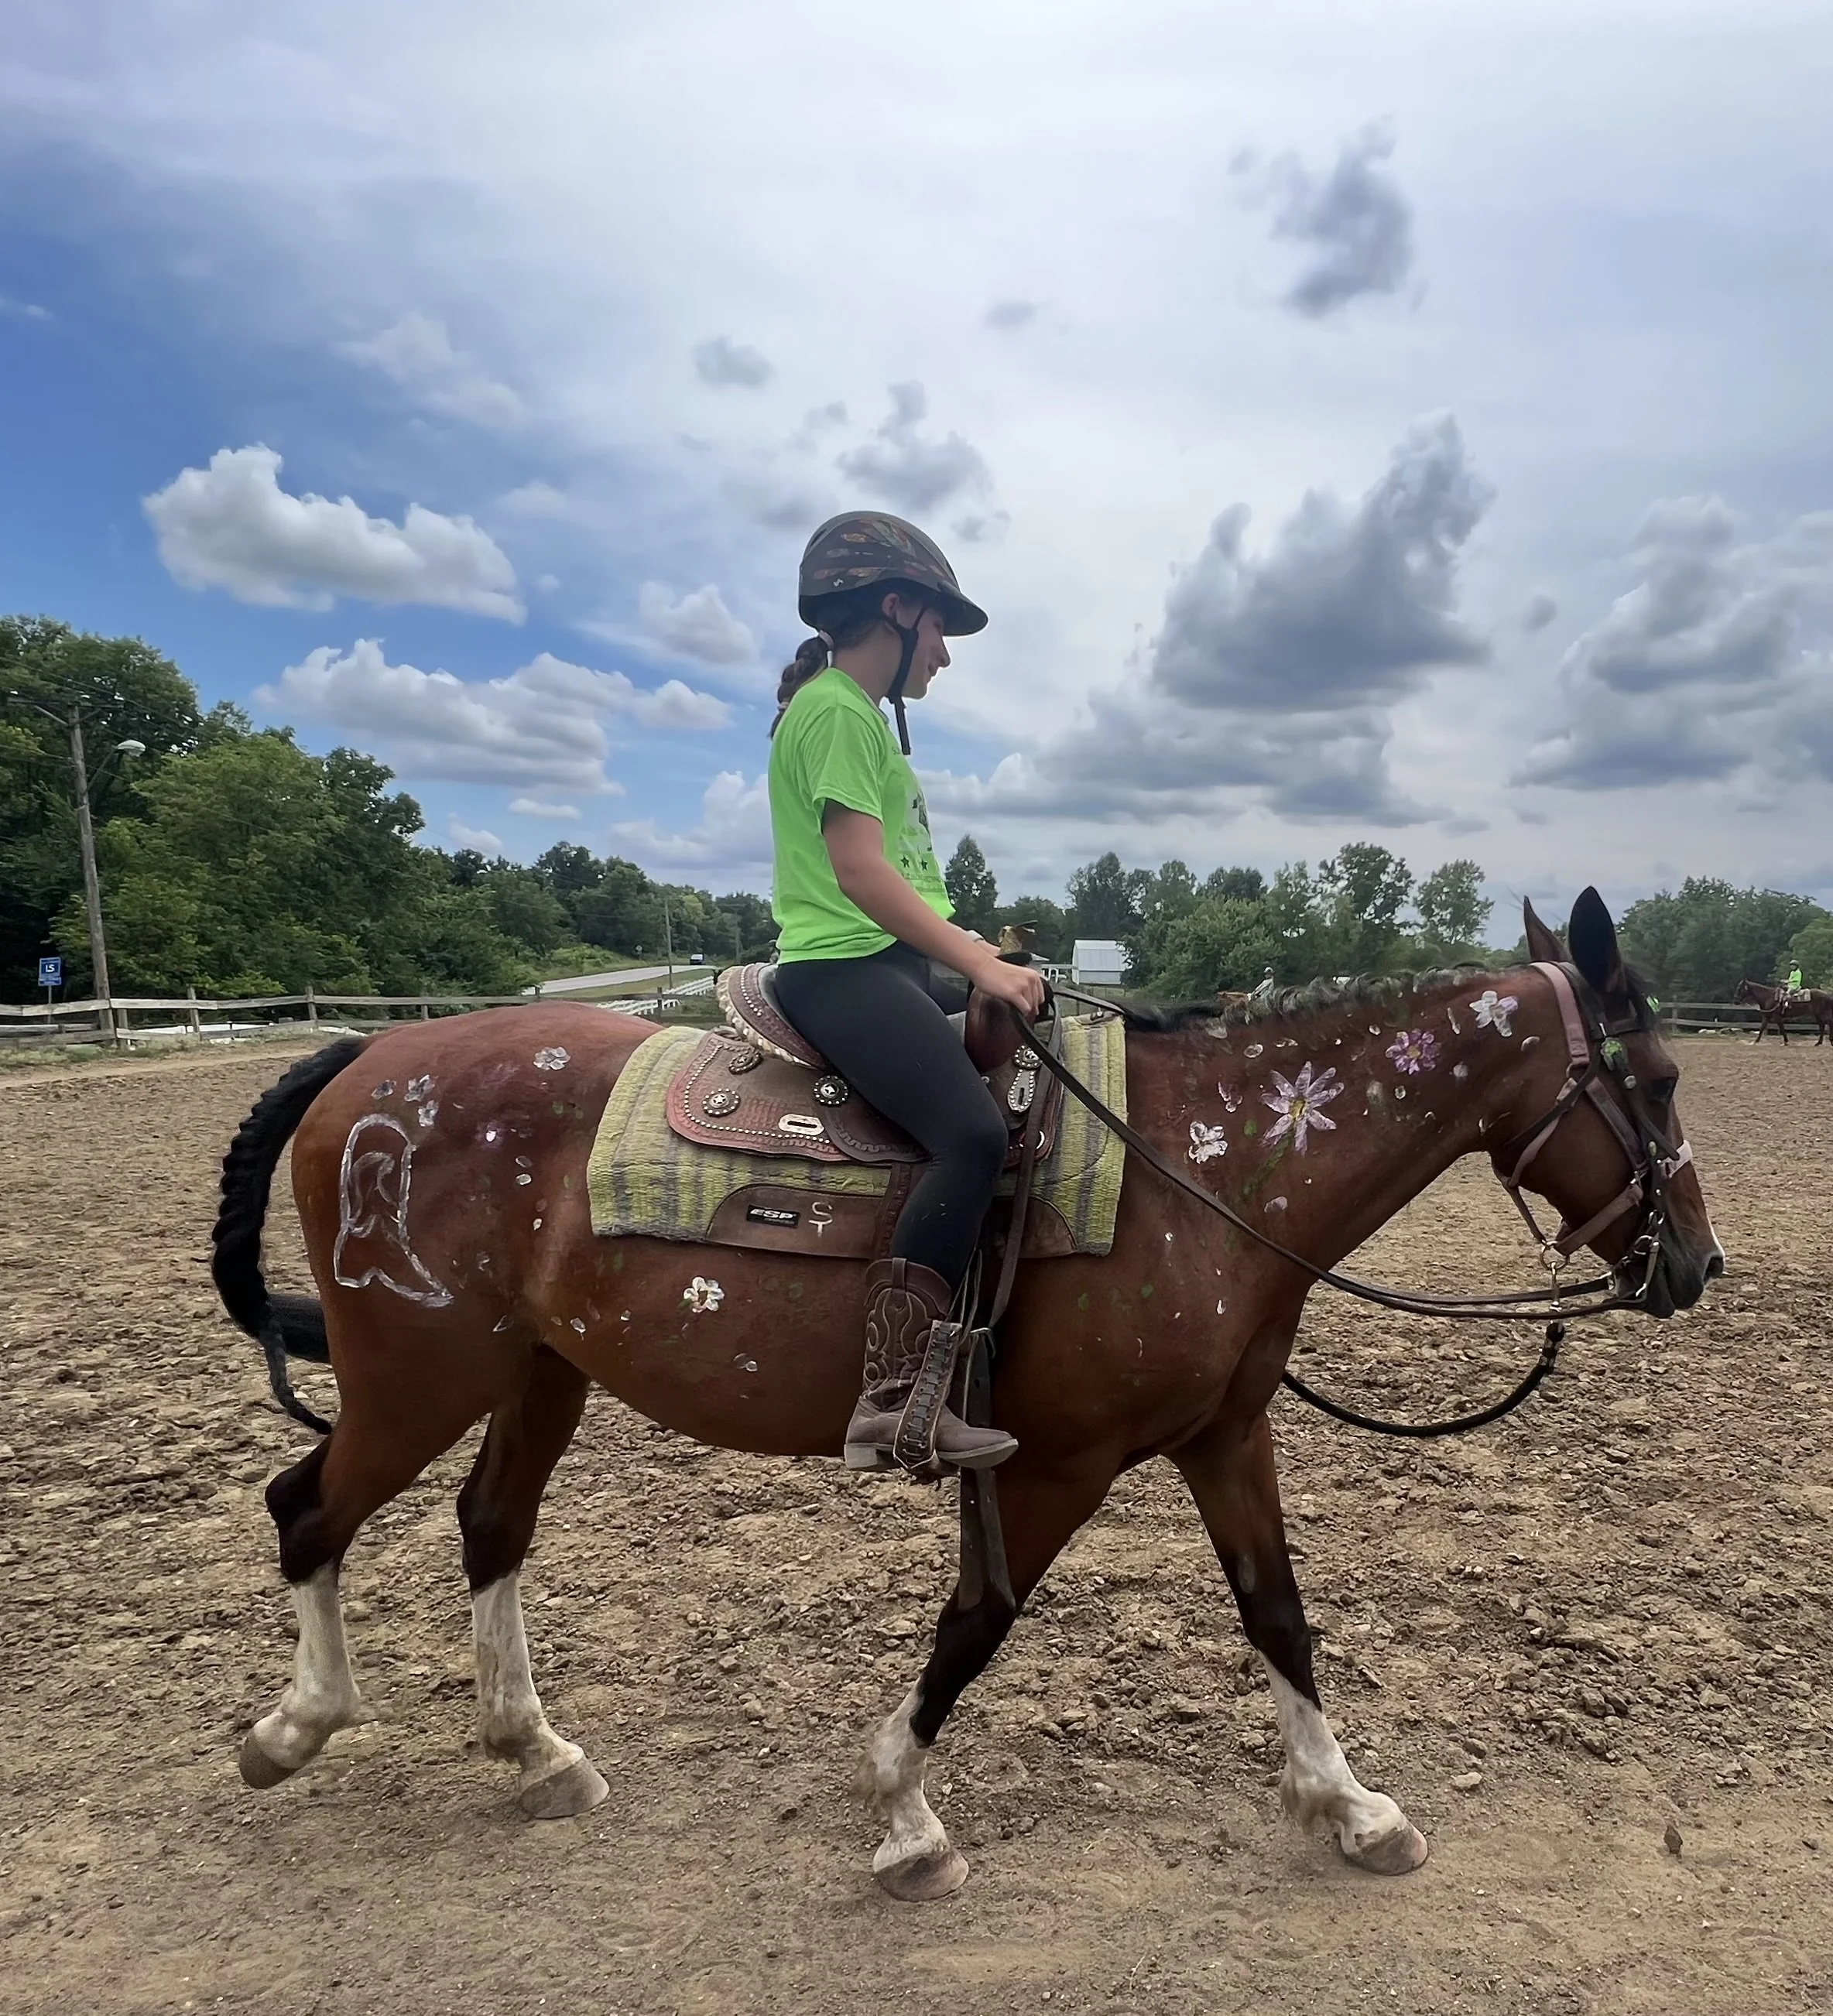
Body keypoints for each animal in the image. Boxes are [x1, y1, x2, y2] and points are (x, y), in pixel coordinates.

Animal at [212, 889, 1722, 1897]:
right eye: (1654, 1077)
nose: (1695, 1264)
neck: (1203, 1168)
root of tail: (364, 1063)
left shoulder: (1223, 1439)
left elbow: (1277, 1614)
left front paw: (1351, 1808)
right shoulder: (1051, 1462)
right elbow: (977, 1621)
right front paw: (902, 1817)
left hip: (539, 1375)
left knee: (490, 1526)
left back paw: (535, 1750)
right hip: (415, 1374)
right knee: (306, 1509)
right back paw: (293, 1730)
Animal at [1733, 977, 1833, 1045]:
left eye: (1740, 989)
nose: (1736, 1001)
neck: (1768, 997)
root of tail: (1827, 995)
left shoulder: (1777, 1017)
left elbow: (1782, 1028)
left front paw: (1786, 1042)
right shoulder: (1766, 1017)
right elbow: (1762, 1028)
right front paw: (1755, 1042)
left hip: (1822, 1014)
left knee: (1828, 1023)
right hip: (1817, 1015)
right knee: (1822, 1026)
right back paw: (1818, 1043)